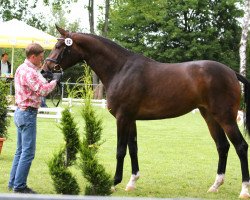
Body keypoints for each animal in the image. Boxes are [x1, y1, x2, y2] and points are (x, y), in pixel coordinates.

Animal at [44, 26, 250, 198]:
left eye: (59, 46)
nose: (45, 71)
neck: (121, 69)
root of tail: (231, 72)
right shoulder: (131, 119)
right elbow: (133, 148)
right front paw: (132, 182)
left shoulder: (122, 118)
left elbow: (120, 150)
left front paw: (113, 182)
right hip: (210, 116)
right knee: (222, 146)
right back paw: (215, 186)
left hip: (226, 118)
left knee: (241, 146)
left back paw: (244, 190)